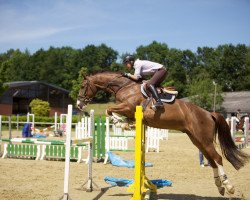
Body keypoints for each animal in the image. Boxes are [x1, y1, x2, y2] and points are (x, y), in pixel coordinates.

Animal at [77, 71, 249, 196]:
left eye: (83, 85)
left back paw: (229, 186)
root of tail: (209, 113)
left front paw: (121, 123)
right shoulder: (129, 110)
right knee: (212, 160)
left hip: (204, 140)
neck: (124, 87)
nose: (79, 104)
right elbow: (112, 111)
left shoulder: (128, 107)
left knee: (218, 158)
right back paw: (219, 186)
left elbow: (109, 109)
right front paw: (125, 123)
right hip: (197, 140)